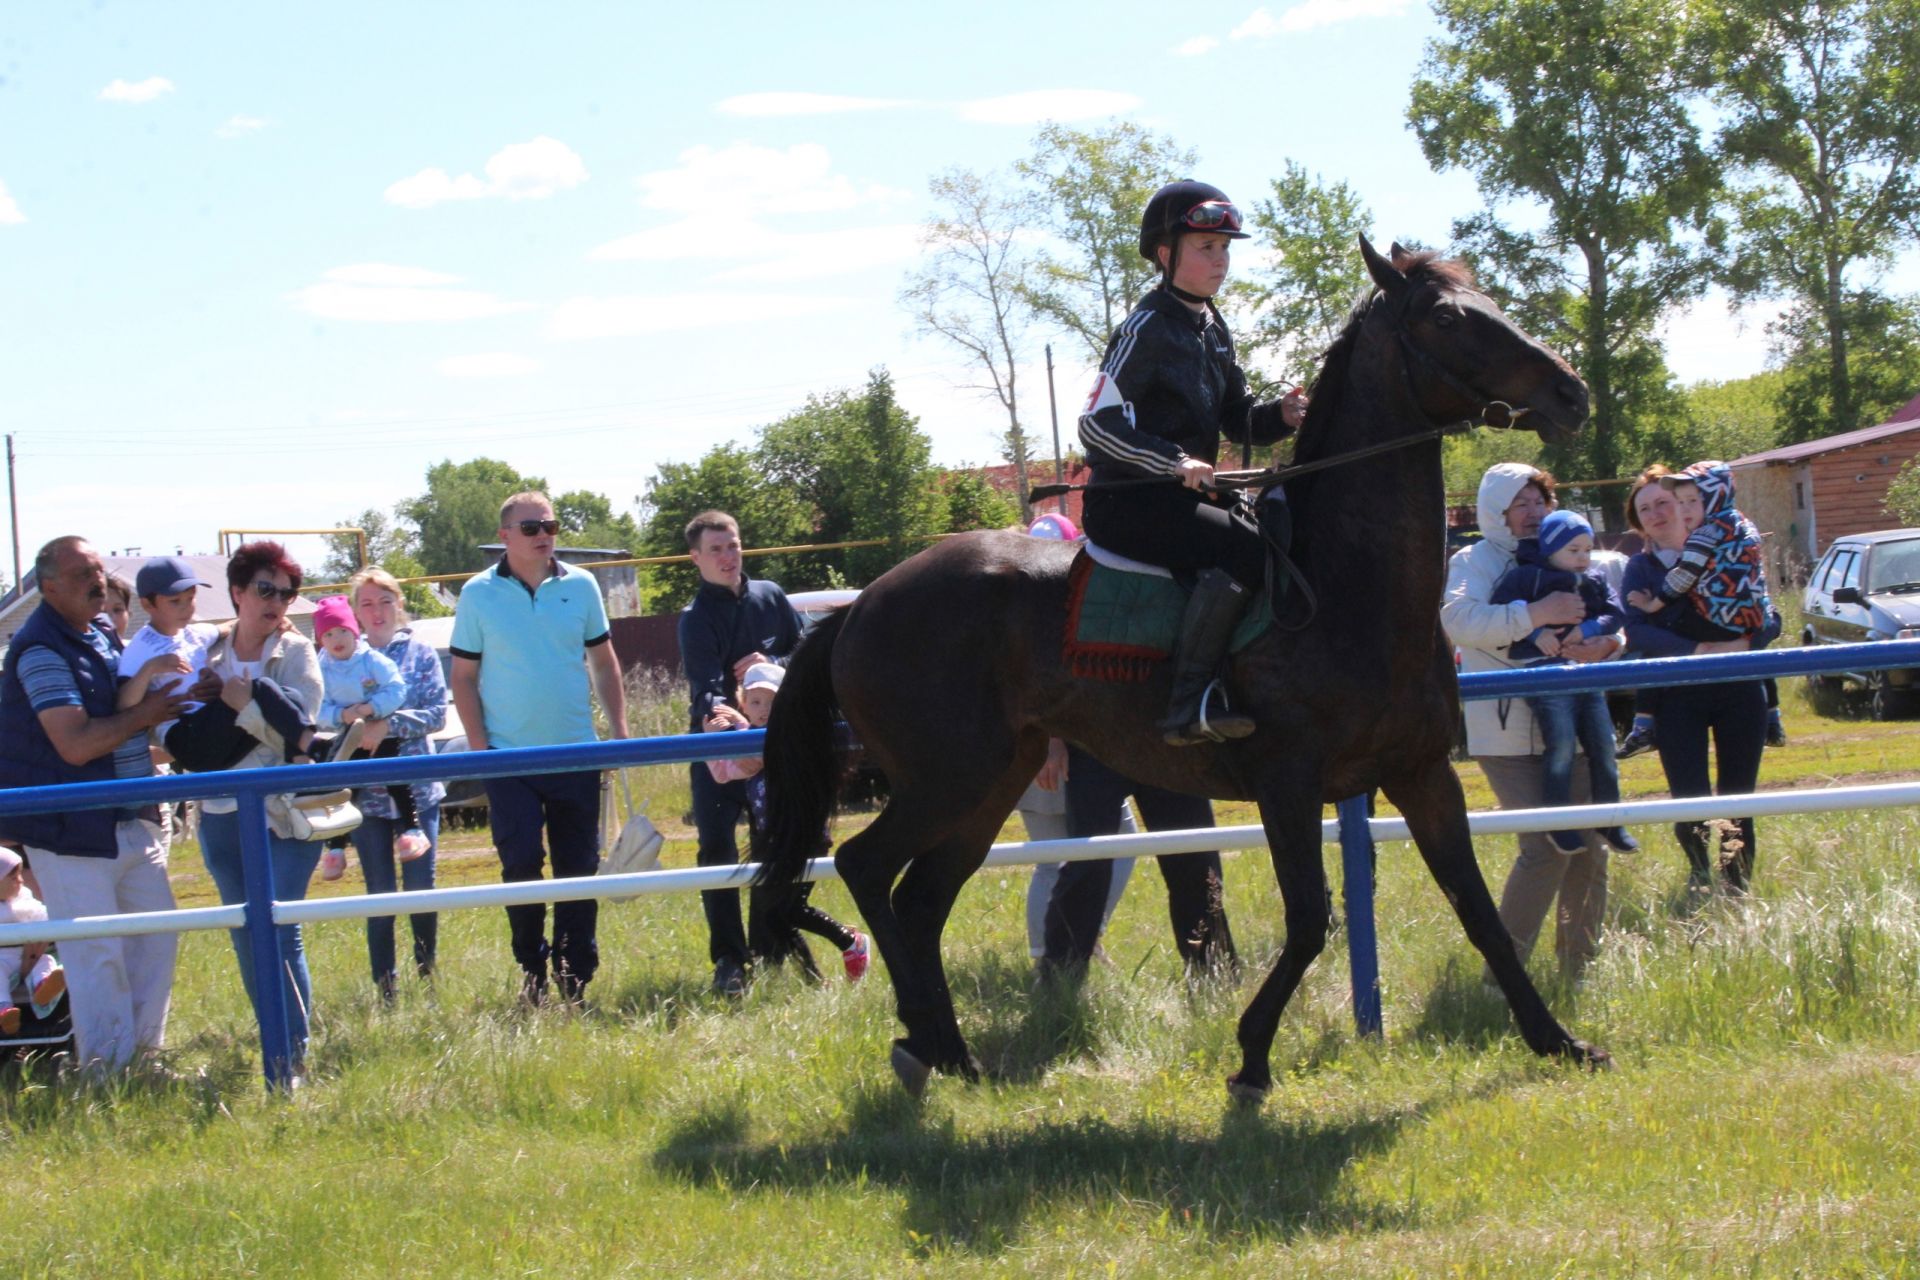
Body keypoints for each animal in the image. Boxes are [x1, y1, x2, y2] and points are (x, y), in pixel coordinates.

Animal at [756, 239, 1612, 1105]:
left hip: (991, 781)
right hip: (946, 778)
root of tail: (860, 605)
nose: (1570, 392)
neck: (1344, 587)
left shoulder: (1423, 773)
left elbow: (1479, 910)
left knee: (923, 899)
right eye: (1444, 317)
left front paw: (1559, 1040)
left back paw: (949, 1052)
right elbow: (1310, 921)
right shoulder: (1288, 784)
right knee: (867, 868)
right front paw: (1252, 1055)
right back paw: (923, 1040)